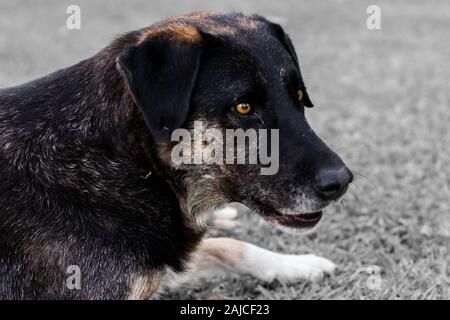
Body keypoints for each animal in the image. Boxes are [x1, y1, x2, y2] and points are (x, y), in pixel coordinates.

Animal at [0, 11, 352, 298]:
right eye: (243, 107)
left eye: (299, 96)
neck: (134, 162)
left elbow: (226, 247)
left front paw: (297, 264)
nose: (342, 182)